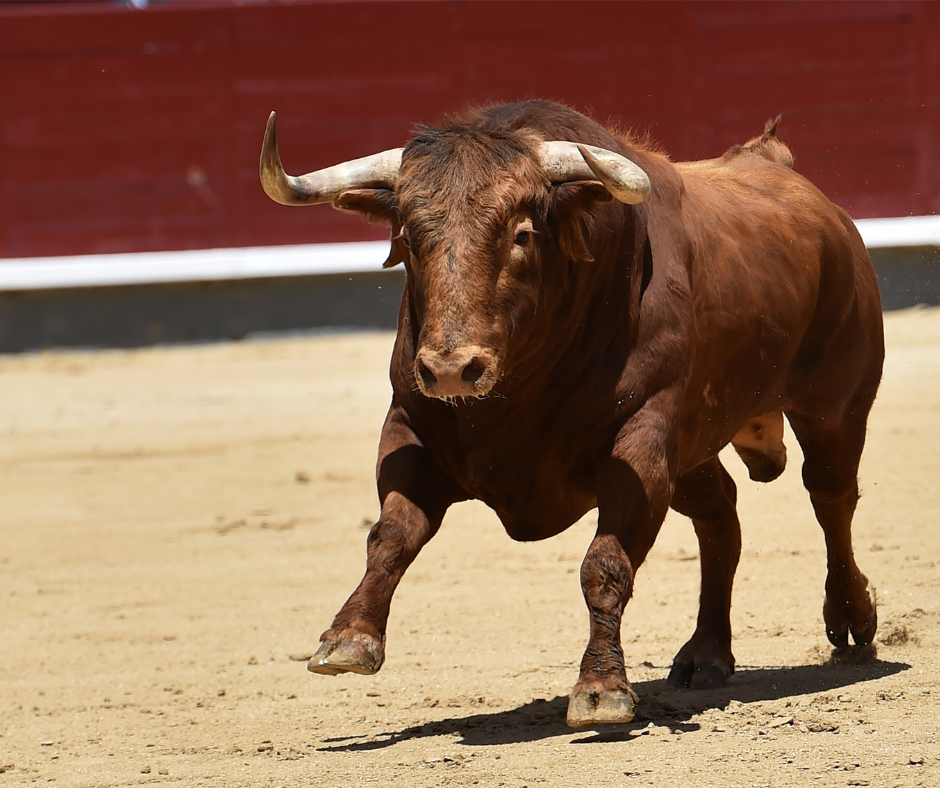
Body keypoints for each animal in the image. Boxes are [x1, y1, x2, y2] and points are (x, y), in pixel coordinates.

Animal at [255, 101, 880, 728]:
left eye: (523, 234)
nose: (453, 370)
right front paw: (347, 638)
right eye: (407, 237)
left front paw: (601, 688)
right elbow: (391, 533)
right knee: (720, 514)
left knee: (830, 497)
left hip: (835, 405)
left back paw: (853, 621)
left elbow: (603, 564)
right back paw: (705, 653)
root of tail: (779, 169)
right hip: (693, 447)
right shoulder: (410, 428)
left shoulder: (641, 443)